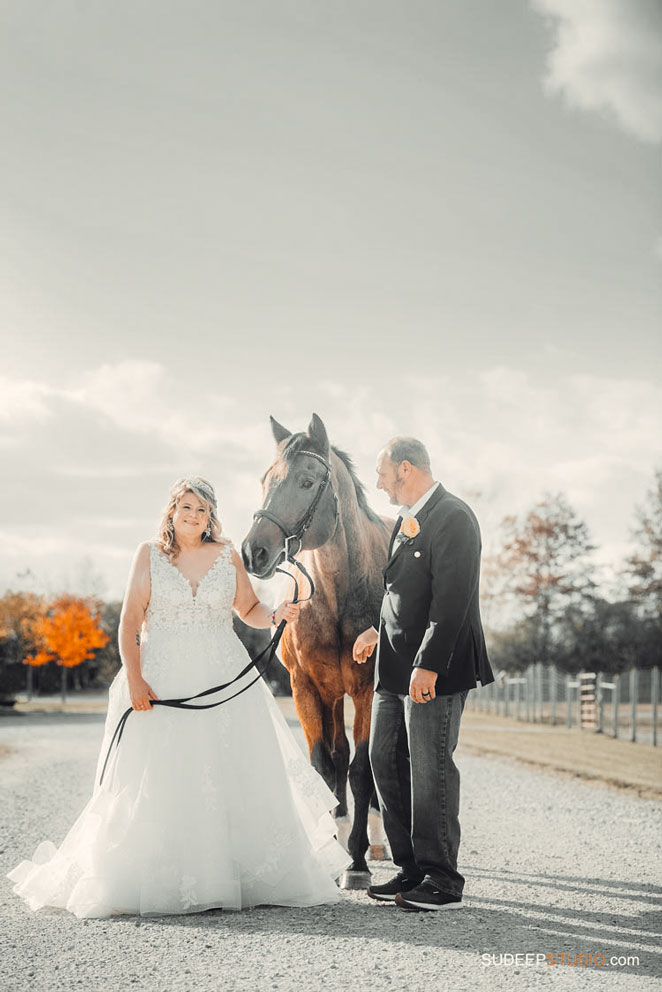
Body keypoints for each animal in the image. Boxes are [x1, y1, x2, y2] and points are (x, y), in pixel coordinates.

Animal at [241, 410, 392, 884]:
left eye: (307, 482)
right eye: (265, 480)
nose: (253, 551)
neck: (336, 595)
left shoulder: (366, 690)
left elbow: (362, 769)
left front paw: (357, 861)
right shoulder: (306, 688)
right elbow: (325, 763)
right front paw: (336, 845)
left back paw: (375, 839)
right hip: (331, 695)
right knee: (338, 756)